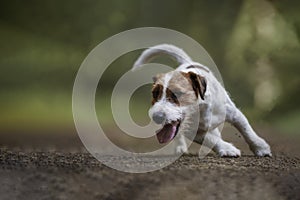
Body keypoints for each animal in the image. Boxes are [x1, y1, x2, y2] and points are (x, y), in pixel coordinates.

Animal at [131, 43, 272, 156]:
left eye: (177, 93)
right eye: (155, 94)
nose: (157, 117)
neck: (201, 108)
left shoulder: (234, 114)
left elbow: (247, 131)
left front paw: (261, 148)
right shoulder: (193, 132)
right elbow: (210, 139)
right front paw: (227, 149)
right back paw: (180, 147)